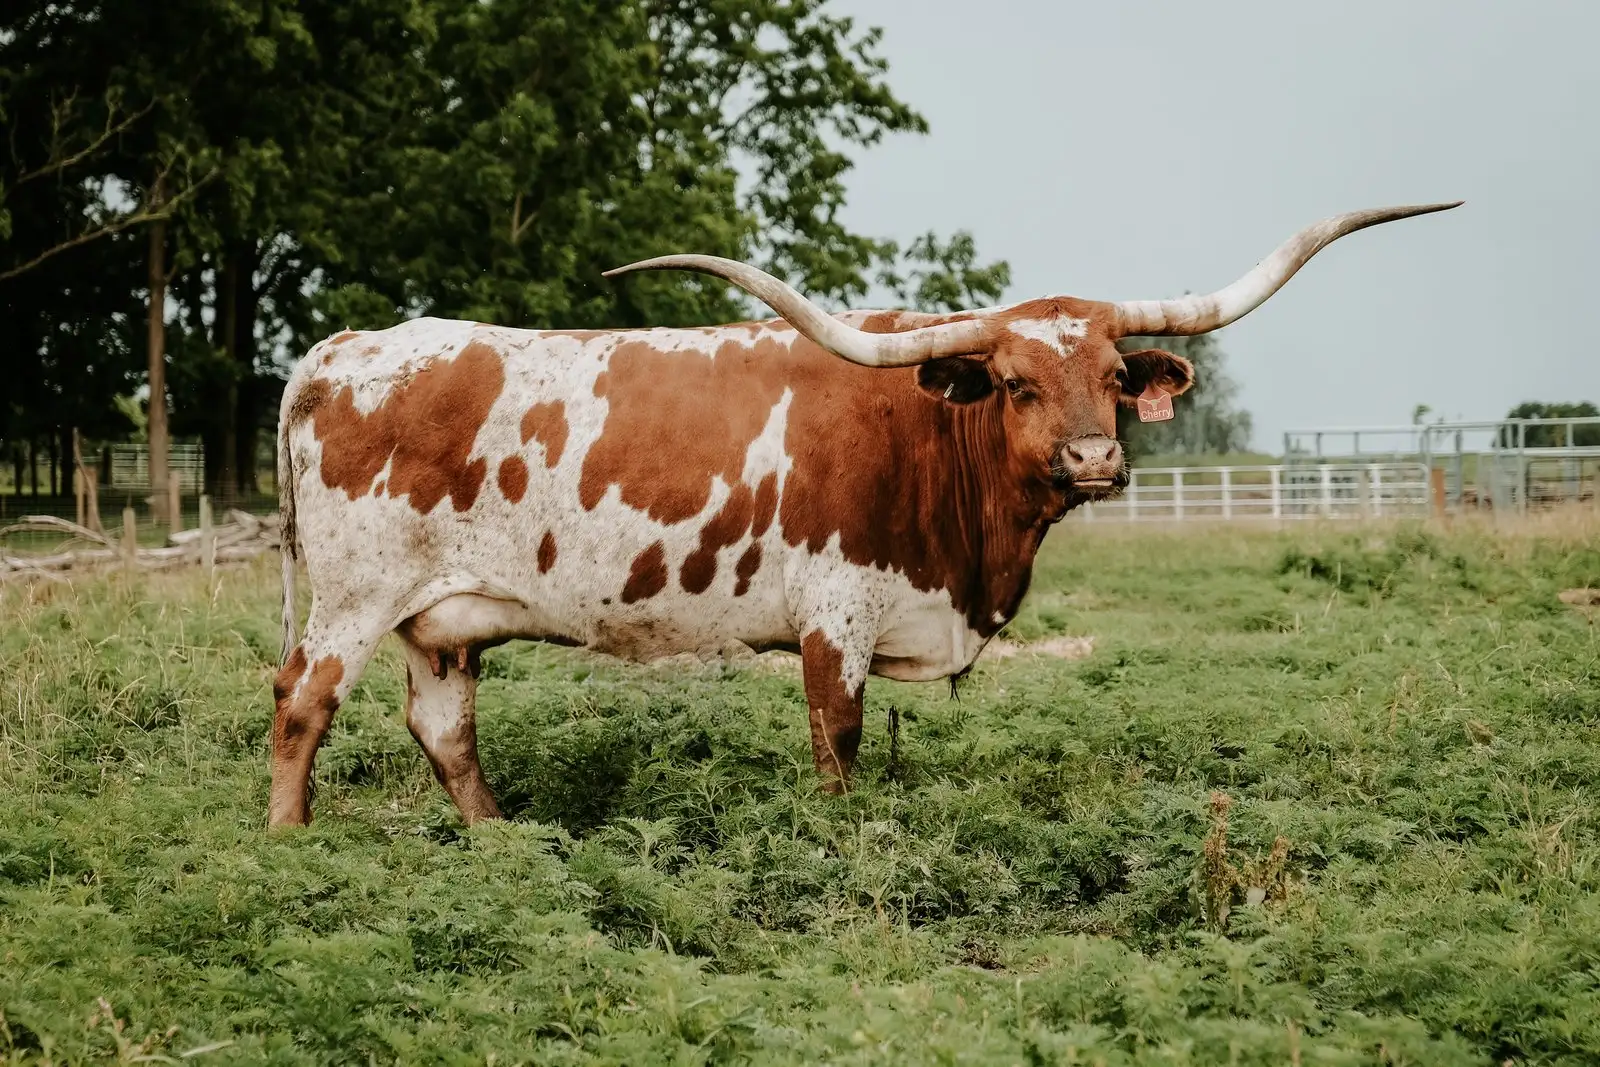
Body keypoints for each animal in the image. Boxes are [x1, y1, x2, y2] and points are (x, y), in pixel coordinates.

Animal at [269, 202, 1459, 827]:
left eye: (1118, 376)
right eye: (1014, 382)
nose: (1094, 460)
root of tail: (343, 349)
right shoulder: (833, 616)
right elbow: (836, 743)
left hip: (439, 619)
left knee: (443, 727)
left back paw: (501, 844)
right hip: (353, 597)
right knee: (300, 705)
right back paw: (291, 842)